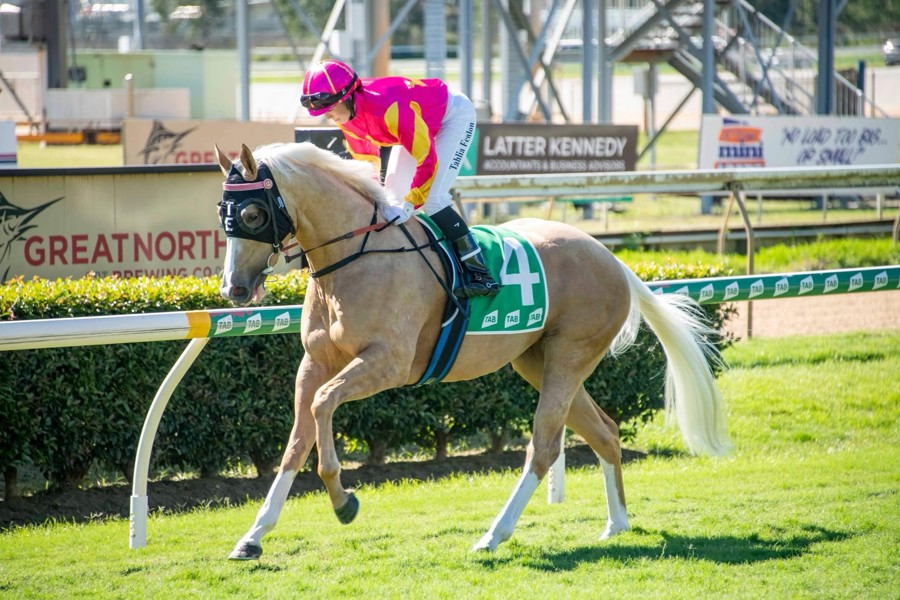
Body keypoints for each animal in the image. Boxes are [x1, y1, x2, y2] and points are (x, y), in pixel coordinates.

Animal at [215, 142, 731, 560]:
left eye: (253, 215)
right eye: (223, 212)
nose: (233, 288)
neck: (354, 258)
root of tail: (617, 263)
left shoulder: (387, 363)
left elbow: (323, 408)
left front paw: (344, 502)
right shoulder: (314, 363)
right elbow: (295, 443)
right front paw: (253, 536)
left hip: (570, 356)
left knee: (544, 447)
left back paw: (493, 535)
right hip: (536, 361)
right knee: (604, 431)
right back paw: (616, 523)